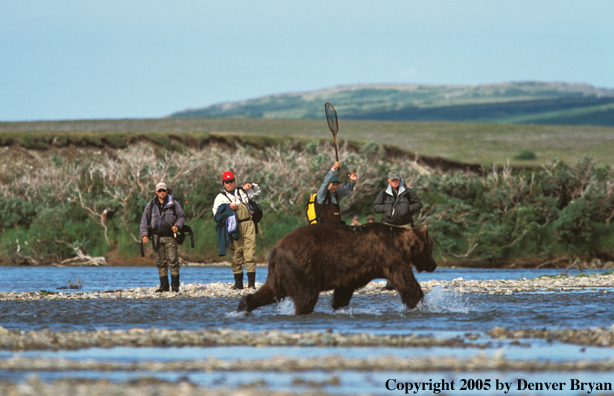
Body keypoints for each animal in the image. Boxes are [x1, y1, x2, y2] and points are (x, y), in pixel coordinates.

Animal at [238, 223, 440, 316]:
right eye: (431, 248)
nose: (434, 264)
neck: (402, 243)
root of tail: (276, 248)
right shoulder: (391, 257)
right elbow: (406, 283)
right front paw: (422, 303)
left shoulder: (350, 272)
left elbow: (343, 292)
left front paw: (338, 307)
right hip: (301, 266)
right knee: (305, 295)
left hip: (279, 270)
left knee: (271, 290)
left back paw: (244, 305)